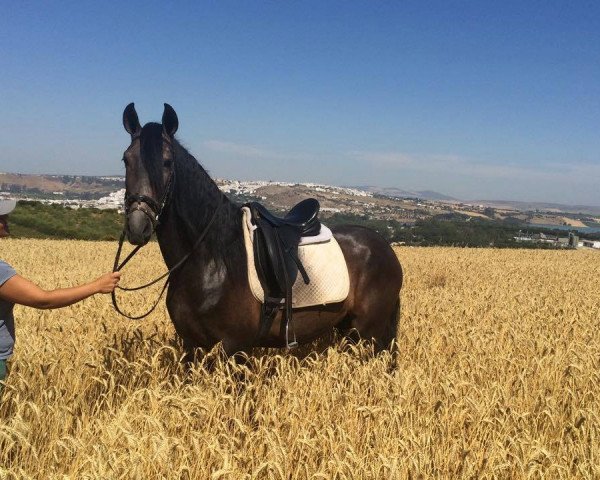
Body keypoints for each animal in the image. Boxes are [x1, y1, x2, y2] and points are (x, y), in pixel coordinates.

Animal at [118, 103, 404, 358]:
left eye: (167, 162)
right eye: (126, 159)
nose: (138, 226)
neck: (211, 260)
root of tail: (384, 246)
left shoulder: (235, 347)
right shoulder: (192, 345)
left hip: (369, 333)